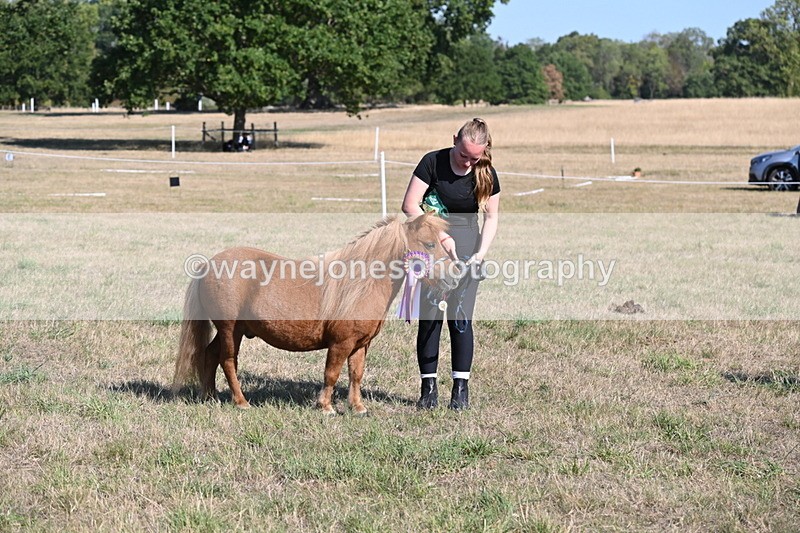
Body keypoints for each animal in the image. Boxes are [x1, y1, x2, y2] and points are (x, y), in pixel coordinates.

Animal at [172, 213, 458, 414]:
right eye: (429, 244)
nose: (454, 278)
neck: (360, 283)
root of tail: (209, 264)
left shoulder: (360, 345)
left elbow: (356, 374)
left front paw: (358, 407)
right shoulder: (340, 344)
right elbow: (331, 373)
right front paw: (326, 406)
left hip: (233, 330)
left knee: (210, 354)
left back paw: (209, 396)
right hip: (230, 329)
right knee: (228, 361)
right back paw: (241, 401)